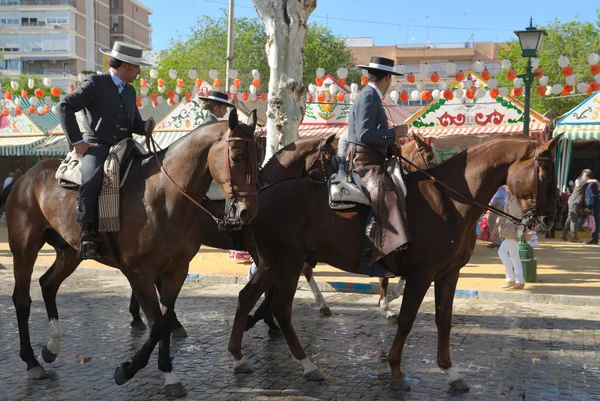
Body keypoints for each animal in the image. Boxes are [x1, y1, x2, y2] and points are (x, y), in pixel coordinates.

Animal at [6, 109, 260, 396]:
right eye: (236, 156)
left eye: (257, 156)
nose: (247, 211)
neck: (162, 196)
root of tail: (26, 176)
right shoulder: (138, 270)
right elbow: (158, 323)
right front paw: (126, 370)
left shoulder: (177, 269)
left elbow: (164, 319)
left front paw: (168, 373)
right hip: (24, 249)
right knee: (22, 299)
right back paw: (31, 362)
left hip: (69, 253)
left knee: (48, 285)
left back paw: (51, 348)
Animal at [227, 134, 560, 390]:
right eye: (544, 175)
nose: (548, 219)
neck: (451, 201)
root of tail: (260, 196)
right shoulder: (421, 274)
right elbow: (406, 319)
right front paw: (396, 370)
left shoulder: (448, 275)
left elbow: (444, 320)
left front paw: (450, 371)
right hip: (289, 264)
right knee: (282, 309)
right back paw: (307, 364)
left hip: (272, 265)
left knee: (247, 297)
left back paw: (239, 356)